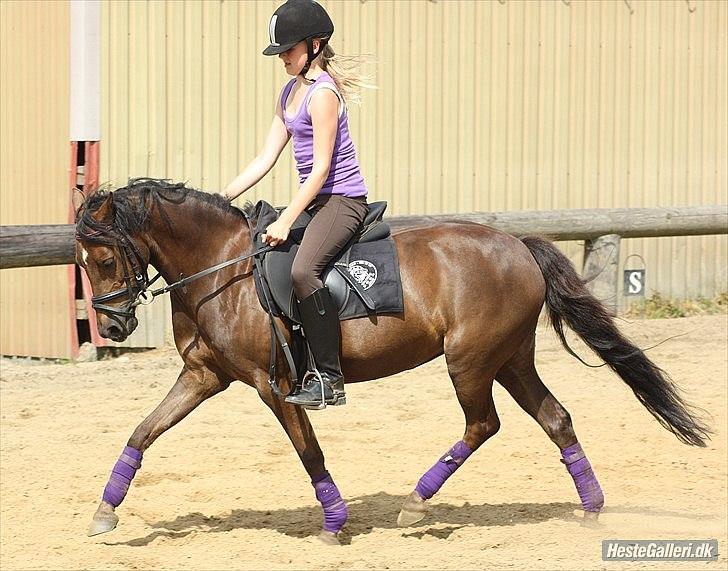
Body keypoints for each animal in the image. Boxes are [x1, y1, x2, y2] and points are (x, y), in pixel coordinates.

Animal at [77, 180, 708, 544]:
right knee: (555, 419)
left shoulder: (274, 384)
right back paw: (592, 509)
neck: (221, 267)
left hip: (470, 360)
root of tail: (519, 246)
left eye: (103, 258)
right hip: (510, 358)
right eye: (82, 260)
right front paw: (105, 512)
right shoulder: (204, 375)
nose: (111, 327)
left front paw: (334, 524)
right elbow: (142, 431)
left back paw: (414, 505)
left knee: (483, 424)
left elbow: (309, 451)